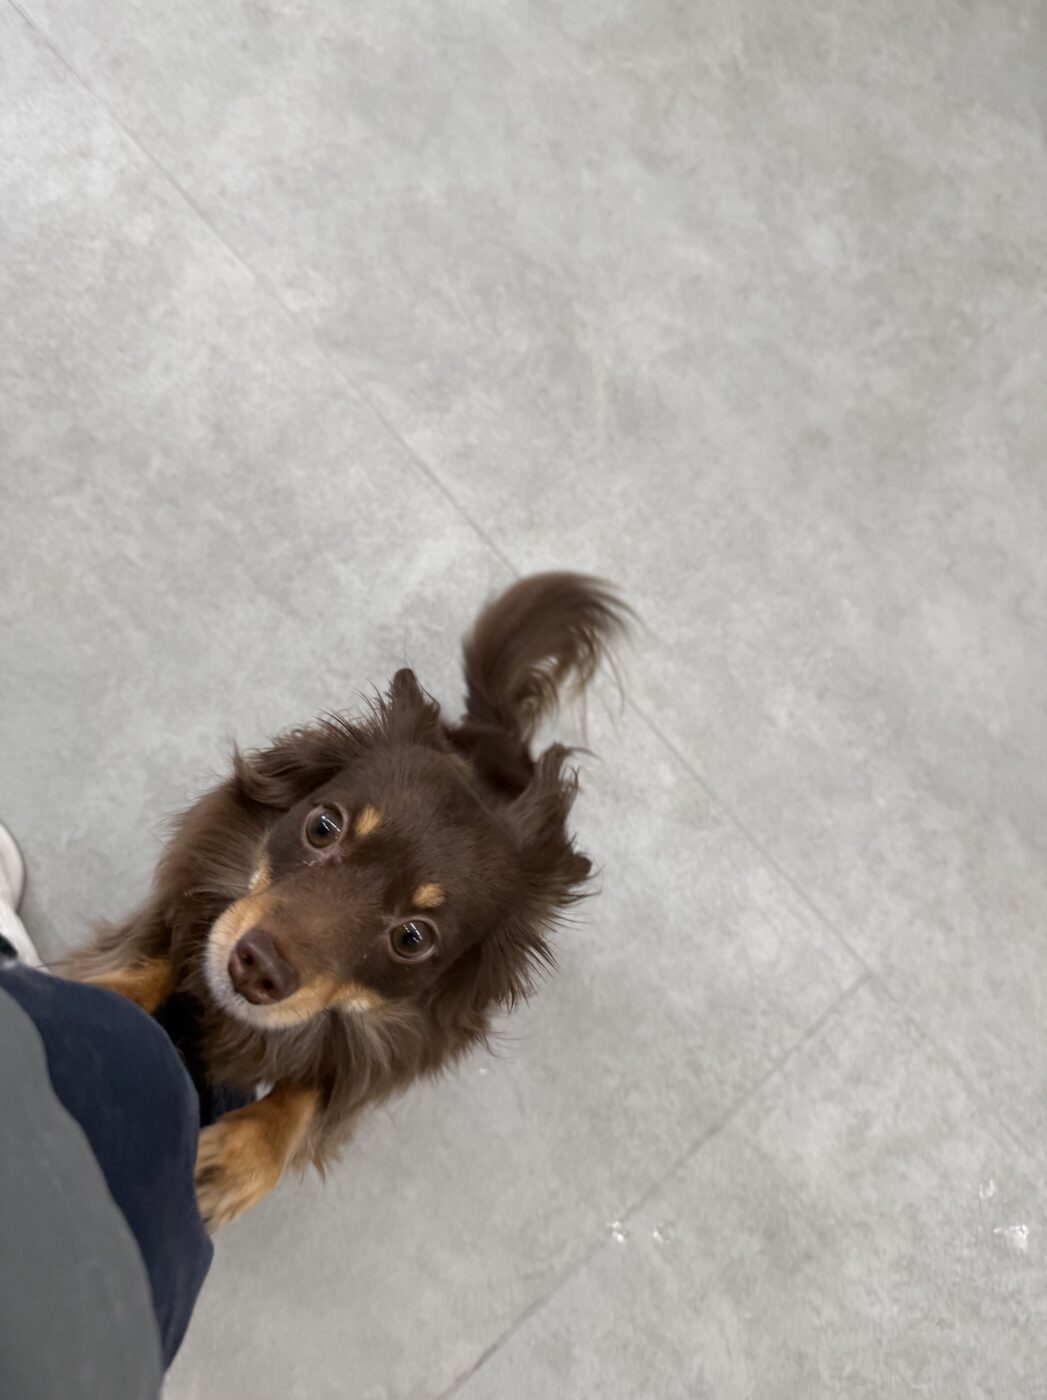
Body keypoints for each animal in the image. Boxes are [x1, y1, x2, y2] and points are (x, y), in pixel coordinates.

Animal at [64, 573, 628, 1229]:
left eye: (413, 937)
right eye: (324, 827)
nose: (255, 968)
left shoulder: (391, 1053)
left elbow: (315, 1088)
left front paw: (239, 1161)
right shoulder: (186, 907)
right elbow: (151, 962)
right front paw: (100, 998)